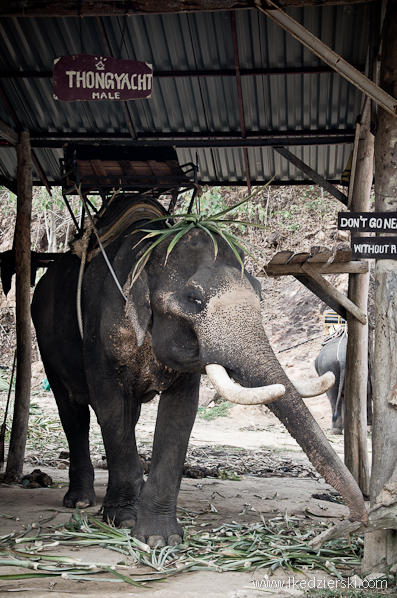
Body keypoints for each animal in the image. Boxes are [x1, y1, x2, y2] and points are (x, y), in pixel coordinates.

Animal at [31, 196, 368, 548]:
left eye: (260, 292)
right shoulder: (101, 334)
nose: (357, 520)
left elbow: (180, 413)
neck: (153, 244)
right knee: (74, 414)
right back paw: (80, 501)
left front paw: (159, 538)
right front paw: (123, 520)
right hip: (45, 338)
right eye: (193, 299)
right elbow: (111, 407)